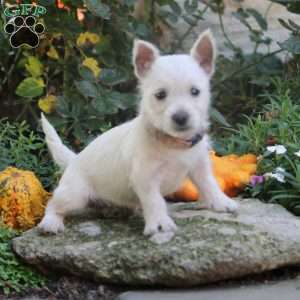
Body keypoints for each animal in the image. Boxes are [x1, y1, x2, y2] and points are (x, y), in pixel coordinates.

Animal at [38, 29, 239, 237]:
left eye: (195, 91)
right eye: (160, 95)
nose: (181, 117)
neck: (174, 144)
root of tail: (74, 159)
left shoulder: (199, 165)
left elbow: (208, 183)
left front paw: (221, 202)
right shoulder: (145, 178)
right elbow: (155, 200)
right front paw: (159, 223)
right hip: (74, 194)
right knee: (53, 205)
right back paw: (51, 223)